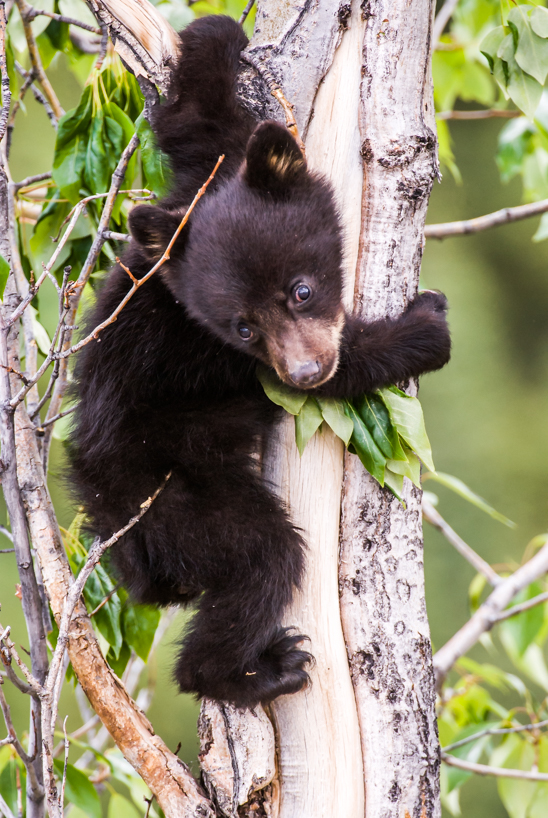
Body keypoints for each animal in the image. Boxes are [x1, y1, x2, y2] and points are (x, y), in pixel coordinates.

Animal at [70, 14, 451, 708]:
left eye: (300, 290)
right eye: (242, 327)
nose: (304, 371)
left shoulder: (202, 184)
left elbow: (196, 124)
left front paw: (213, 36)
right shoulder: (219, 357)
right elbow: (342, 370)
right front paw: (425, 329)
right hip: (177, 499)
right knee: (262, 558)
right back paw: (257, 670)